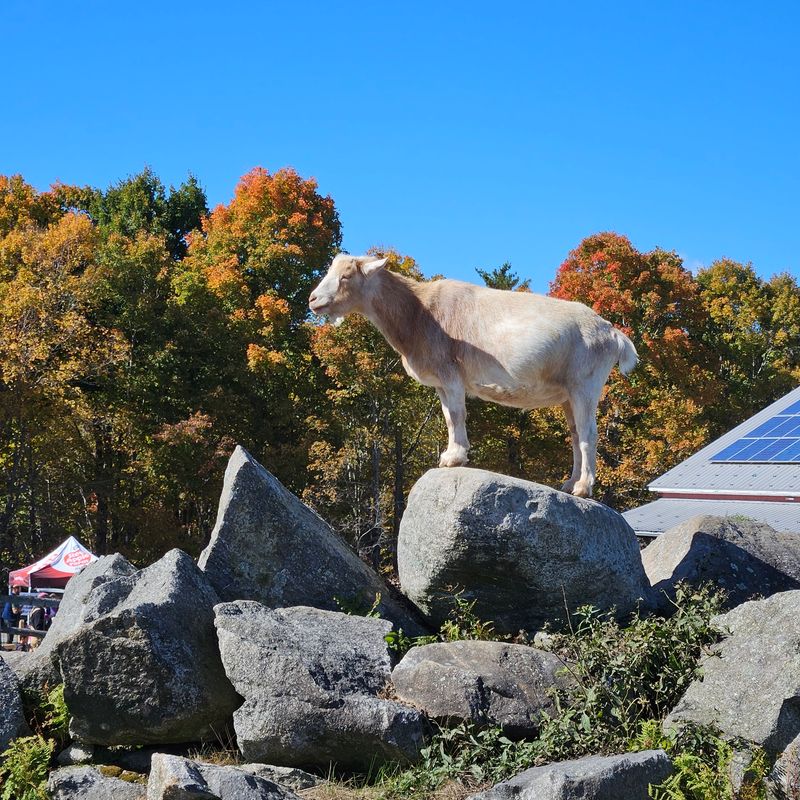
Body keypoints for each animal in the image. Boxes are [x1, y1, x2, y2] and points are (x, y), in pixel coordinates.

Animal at [309, 254, 638, 498]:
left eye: (346, 276)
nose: (313, 300)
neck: (418, 312)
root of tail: (612, 333)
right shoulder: (442, 383)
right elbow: (447, 415)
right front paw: (452, 455)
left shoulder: (451, 373)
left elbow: (456, 415)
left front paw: (454, 458)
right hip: (569, 393)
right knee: (575, 434)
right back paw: (569, 485)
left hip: (586, 383)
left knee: (588, 434)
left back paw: (583, 488)